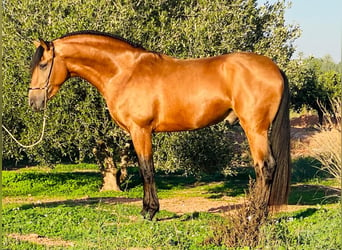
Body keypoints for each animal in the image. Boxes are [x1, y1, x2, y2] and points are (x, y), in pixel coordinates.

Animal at [30, 30, 292, 220]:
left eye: (43, 65)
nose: (33, 102)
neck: (124, 72)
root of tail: (274, 68)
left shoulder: (141, 130)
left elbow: (147, 170)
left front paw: (149, 212)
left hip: (255, 128)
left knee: (266, 167)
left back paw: (255, 215)